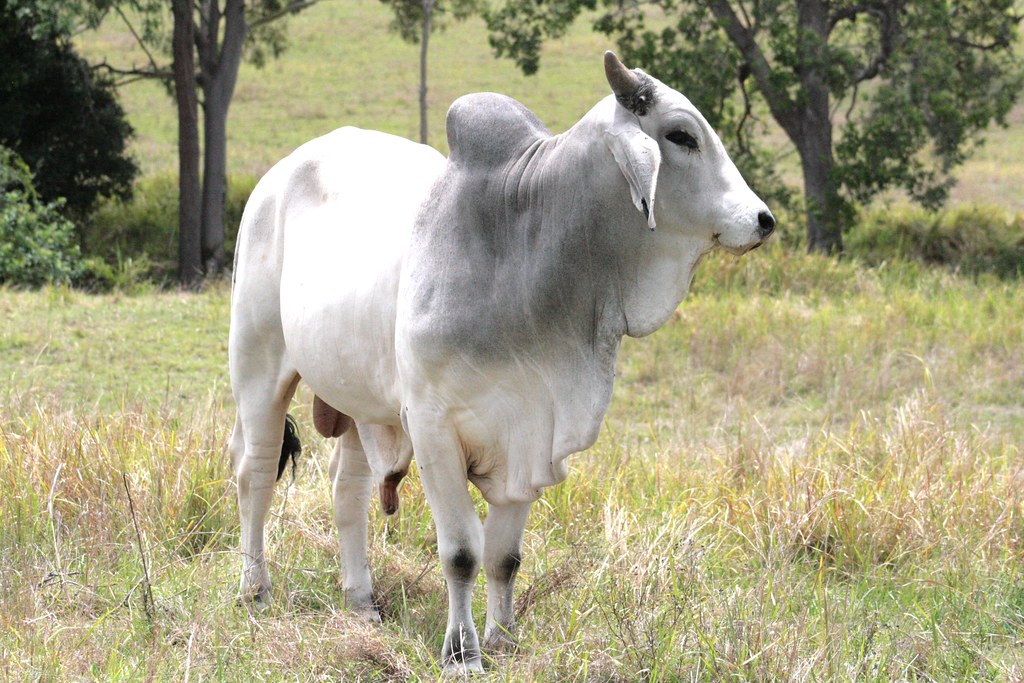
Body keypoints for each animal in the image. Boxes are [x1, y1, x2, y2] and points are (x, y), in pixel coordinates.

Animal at [227, 51, 774, 673]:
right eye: (681, 135)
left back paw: (361, 601)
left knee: (349, 489)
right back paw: (254, 590)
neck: (524, 244)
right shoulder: (434, 429)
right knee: (254, 471)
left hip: (363, 400)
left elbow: (504, 556)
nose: (763, 219)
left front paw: (503, 639)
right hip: (258, 364)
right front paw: (462, 652)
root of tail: (278, 175)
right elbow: (463, 551)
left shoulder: (529, 433)